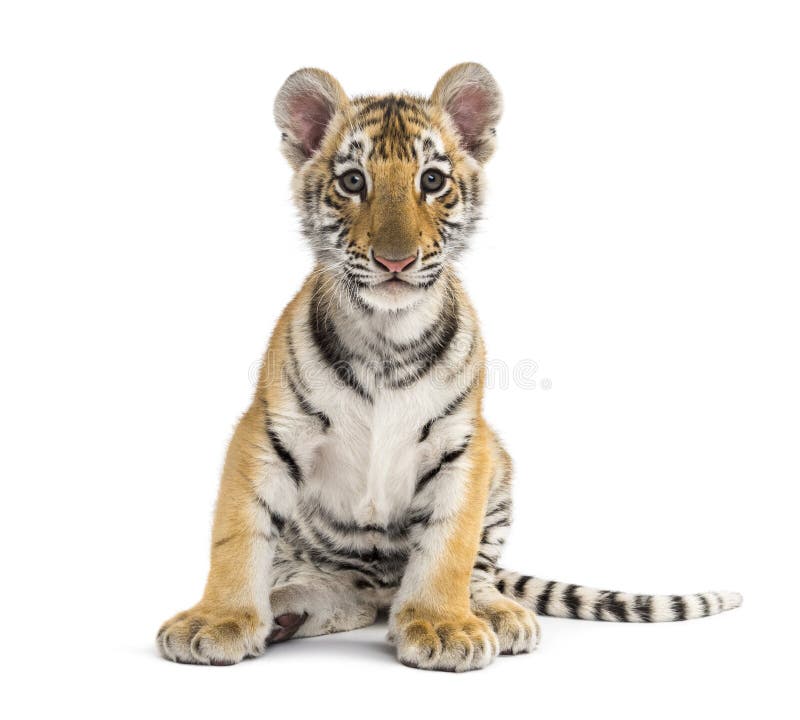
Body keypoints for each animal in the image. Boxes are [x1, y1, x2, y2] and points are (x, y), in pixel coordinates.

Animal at [158, 63, 744, 676]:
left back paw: (497, 614)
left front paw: (443, 626)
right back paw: (287, 608)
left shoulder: (463, 445)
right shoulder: (268, 433)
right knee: (344, 598)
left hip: (500, 465)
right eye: (353, 182)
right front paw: (217, 621)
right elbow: (237, 534)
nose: (395, 260)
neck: (387, 337)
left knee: (477, 574)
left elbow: (449, 547)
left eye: (433, 180)